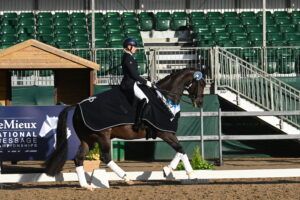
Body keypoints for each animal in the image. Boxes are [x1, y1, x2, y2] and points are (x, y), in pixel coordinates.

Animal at [44, 67, 206, 191]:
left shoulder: (168, 133)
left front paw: (173, 171)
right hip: (102, 136)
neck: (164, 99)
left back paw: (86, 186)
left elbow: (180, 150)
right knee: (105, 157)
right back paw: (126, 178)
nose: (199, 103)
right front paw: (186, 173)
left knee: (79, 158)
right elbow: (181, 149)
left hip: (87, 140)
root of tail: (77, 106)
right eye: (202, 84)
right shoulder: (165, 132)